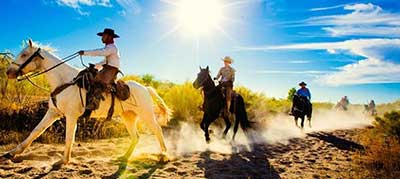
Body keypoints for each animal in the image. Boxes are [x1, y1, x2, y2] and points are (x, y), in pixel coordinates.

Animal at [0, 39, 169, 166]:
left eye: (24, 54)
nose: (8, 72)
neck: (64, 81)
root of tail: (146, 88)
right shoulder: (54, 113)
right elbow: (36, 131)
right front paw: (12, 153)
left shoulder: (71, 115)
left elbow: (69, 137)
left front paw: (63, 161)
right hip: (128, 117)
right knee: (136, 137)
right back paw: (124, 157)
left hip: (146, 114)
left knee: (157, 130)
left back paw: (164, 155)